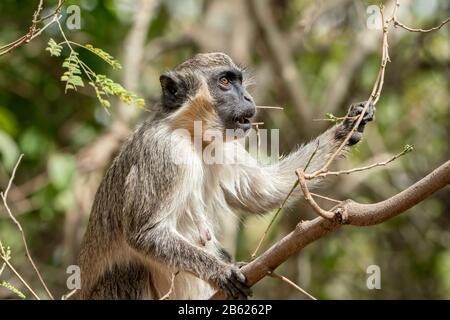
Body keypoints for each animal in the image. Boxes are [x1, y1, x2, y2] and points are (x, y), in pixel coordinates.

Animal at [75, 52, 374, 300]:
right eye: (225, 82)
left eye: (239, 81)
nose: (248, 98)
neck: (192, 136)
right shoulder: (163, 152)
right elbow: (144, 233)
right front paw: (222, 273)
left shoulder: (224, 148)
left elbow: (265, 190)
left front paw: (349, 126)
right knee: (129, 271)